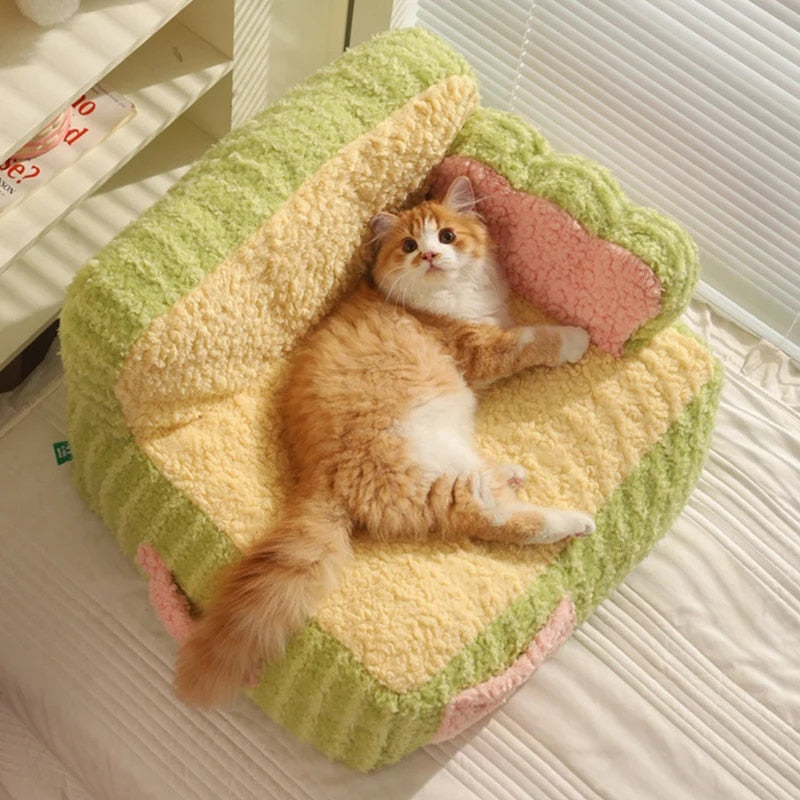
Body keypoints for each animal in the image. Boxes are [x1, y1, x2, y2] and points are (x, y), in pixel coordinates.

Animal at [177, 175, 592, 708]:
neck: (441, 301)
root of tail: (318, 477)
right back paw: (574, 522)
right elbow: (536, 338)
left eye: (447, 237)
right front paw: (576, 338)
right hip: (429, 463)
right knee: (493, 516)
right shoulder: (481, 350)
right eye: (410, 246)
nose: (430, 256)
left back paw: (514, 474)